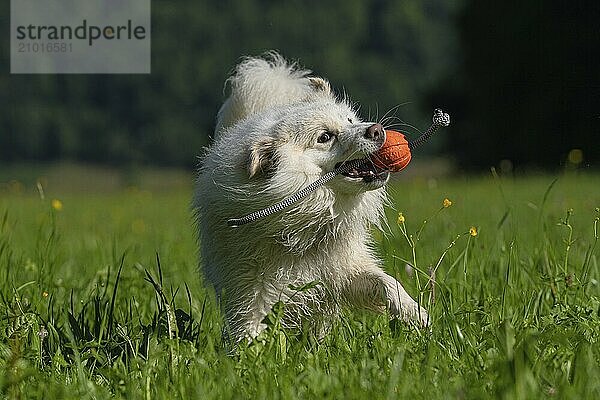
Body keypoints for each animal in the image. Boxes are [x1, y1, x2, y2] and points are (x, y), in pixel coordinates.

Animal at [192, 51, 426, 342]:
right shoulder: (251, 296)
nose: (376, 129)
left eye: (349, 121)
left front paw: (414, 312)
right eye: (325, 137)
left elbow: (387, 281)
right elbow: (250, 334)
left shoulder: (345, 269)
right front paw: (252, 354)